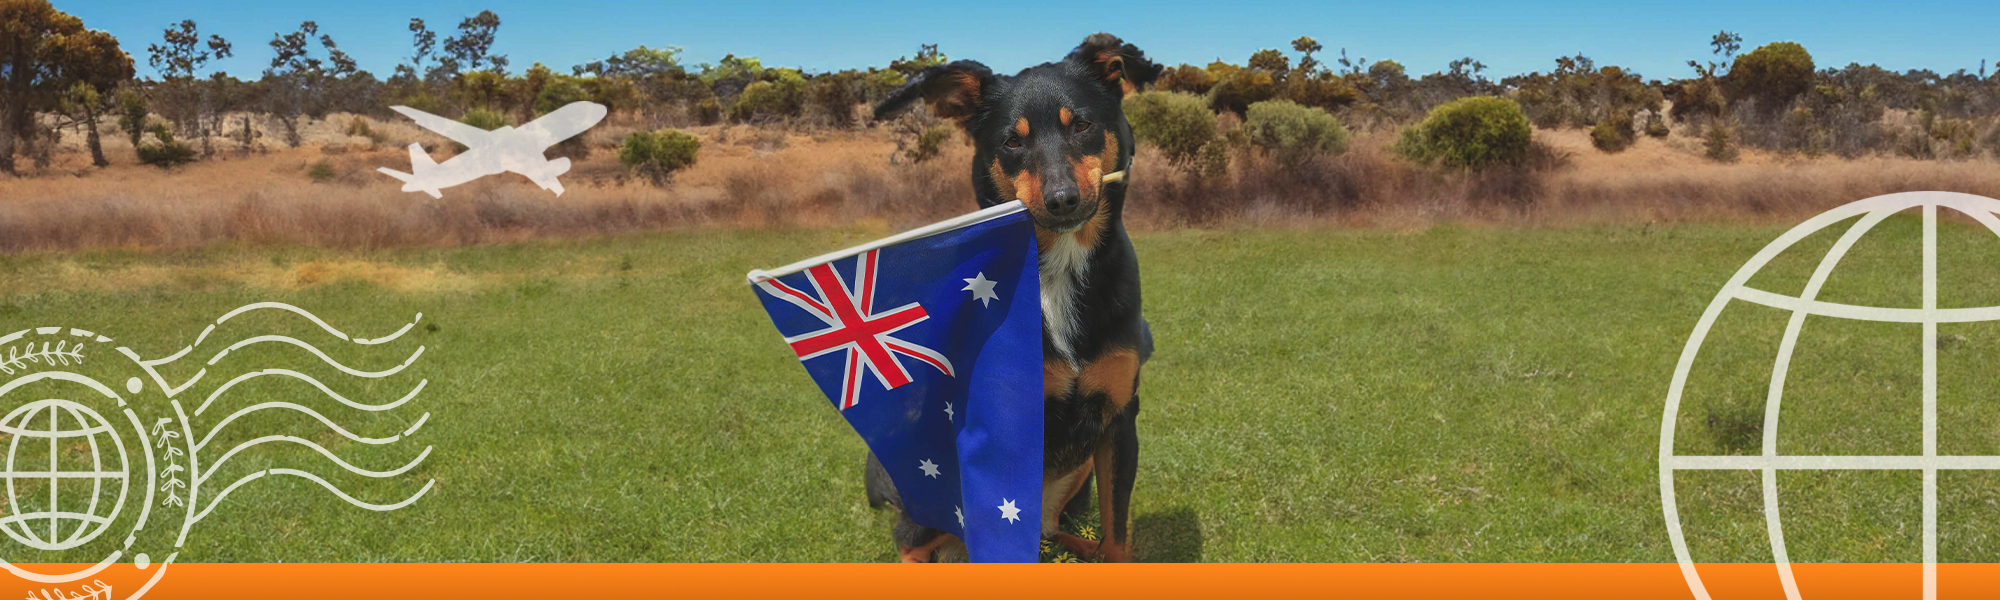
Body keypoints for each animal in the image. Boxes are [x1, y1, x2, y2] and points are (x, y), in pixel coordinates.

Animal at [860, 32, 1160, 564]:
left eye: (1082, 124)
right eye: (1012, 141)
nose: (1062, 199)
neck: (1057, 268)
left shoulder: (1119, 419)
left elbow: (1117, 534)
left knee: (1053, 531)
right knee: (910, 539)